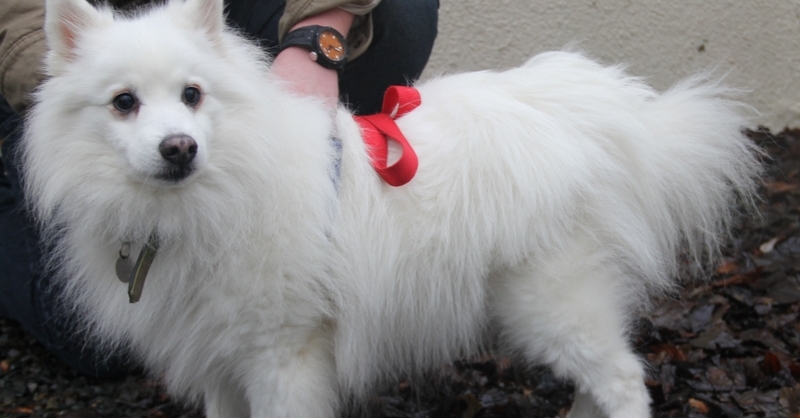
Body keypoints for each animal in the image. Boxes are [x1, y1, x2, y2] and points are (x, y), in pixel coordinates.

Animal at [23, 0, 764, 416]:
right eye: (124, 103)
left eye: (192, 94)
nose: (179, 147)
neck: (216, 192)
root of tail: (602, 112)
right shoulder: (219, 356)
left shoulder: (283, 355)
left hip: (553, 300)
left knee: (623, 381)